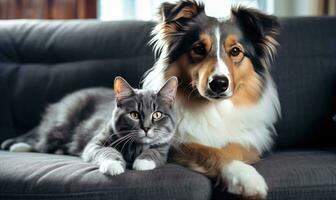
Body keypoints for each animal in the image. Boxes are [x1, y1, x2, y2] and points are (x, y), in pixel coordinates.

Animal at [1, 76, 178, 175]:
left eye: (157, 115)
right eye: (134, 114)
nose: (146, 128)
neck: (135, 145)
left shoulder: (164, 146)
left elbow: (155, 152)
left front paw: (143, 162)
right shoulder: (96, 142)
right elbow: (106, 150)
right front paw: (113, 165)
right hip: (61, 124)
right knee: (40, 139)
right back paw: (19, 146)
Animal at [143, 0, 280, 199]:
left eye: (236, 51)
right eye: (199, 48)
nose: (219, 84)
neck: (215, 108)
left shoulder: (251, 141)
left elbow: (233, 148)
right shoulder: (177, 144)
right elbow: (210, 151)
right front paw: (246, 179)